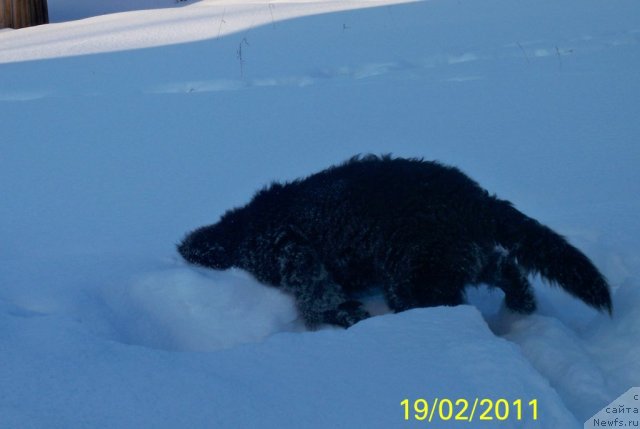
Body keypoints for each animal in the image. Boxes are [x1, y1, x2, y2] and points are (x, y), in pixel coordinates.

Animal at [178, 155, 612, 326]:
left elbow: (318, 297)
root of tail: (474, 198)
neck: (240, 231)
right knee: (507, 270)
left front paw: (345, 316)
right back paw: (520, 307)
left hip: (414, 279)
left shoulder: (292, 251)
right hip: (458, 259)